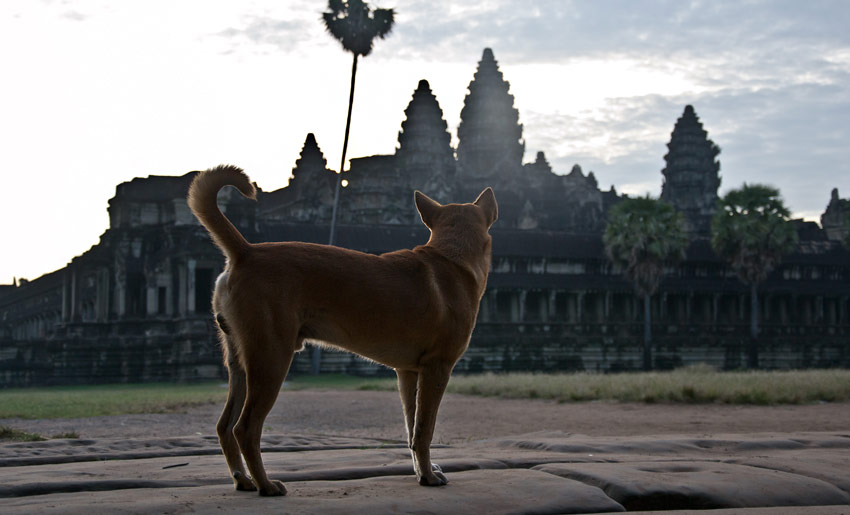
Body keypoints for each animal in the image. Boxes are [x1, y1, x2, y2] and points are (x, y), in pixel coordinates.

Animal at [187, 164, 496, 496]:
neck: (451, 258)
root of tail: (246, 251)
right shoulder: (437, 368)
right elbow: (424, 429)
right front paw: (427, 476)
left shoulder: (408, 373)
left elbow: (411, 429)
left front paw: (420, 470)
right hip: (271, 359)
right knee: (245, 428)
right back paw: (266, 484)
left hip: (241, 363)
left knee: (224, 426)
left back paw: (242, 479)